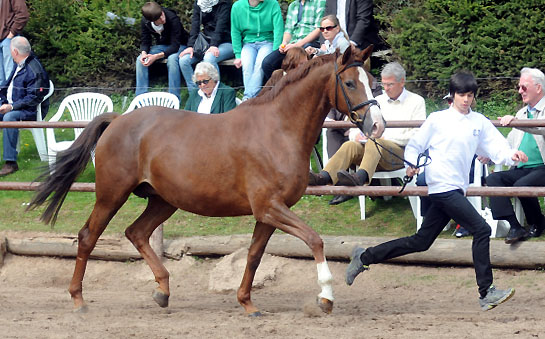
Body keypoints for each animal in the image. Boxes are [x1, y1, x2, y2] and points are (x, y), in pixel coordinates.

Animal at [28, 45, 382, 316]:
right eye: (350, 83)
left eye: (373, 81)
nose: (377, 125)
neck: (278, 129)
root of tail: (118, 121)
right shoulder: (270, 208)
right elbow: (314, 240)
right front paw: (325, 298)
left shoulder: (269, 213)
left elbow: (254, 256)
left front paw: (247, 303)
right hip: (112, 194)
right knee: (88, 236)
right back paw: (79, 300)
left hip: (163, 200)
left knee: (136, 233)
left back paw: (163, 291)